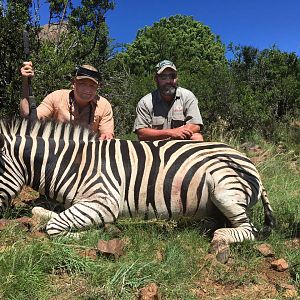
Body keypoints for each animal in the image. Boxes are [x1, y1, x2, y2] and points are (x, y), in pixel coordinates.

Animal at [0, 118, 276, 262]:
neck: (72, 164)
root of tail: (248, 161)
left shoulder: (104, 201)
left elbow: (54, 227)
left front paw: (96, 233)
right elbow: (41, 213)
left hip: (223, 188)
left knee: (247, 230)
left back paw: (219, 240)